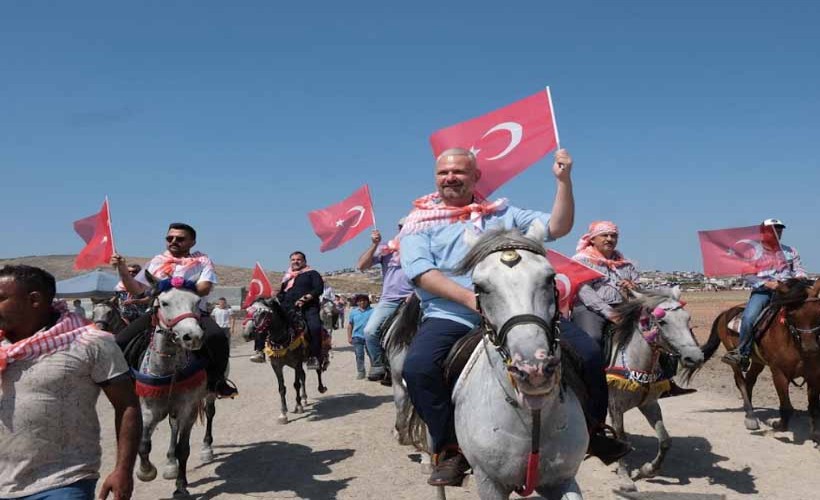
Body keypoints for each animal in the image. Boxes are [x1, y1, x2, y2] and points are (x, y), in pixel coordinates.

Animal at [604, 288, 704, 490]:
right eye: (662, 321)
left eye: (687, 318)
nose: (695, 357)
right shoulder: (615, 407)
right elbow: (622, 438)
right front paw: (625, 478)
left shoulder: (649, 404)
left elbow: (665, 440)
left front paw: (648, 470)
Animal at [700, 280, 820, 444]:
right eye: (790, 314)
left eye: (818, 312)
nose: (811, 348)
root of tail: (725, 313)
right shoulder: (779, 373)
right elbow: (786, 406)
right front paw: (778, 425)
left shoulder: (813, 374)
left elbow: (813, 406)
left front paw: (815, 435)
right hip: (735, 358)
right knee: (741, 382)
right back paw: (751, 416)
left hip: (758, 362)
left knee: (750, 381)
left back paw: (748, 410)